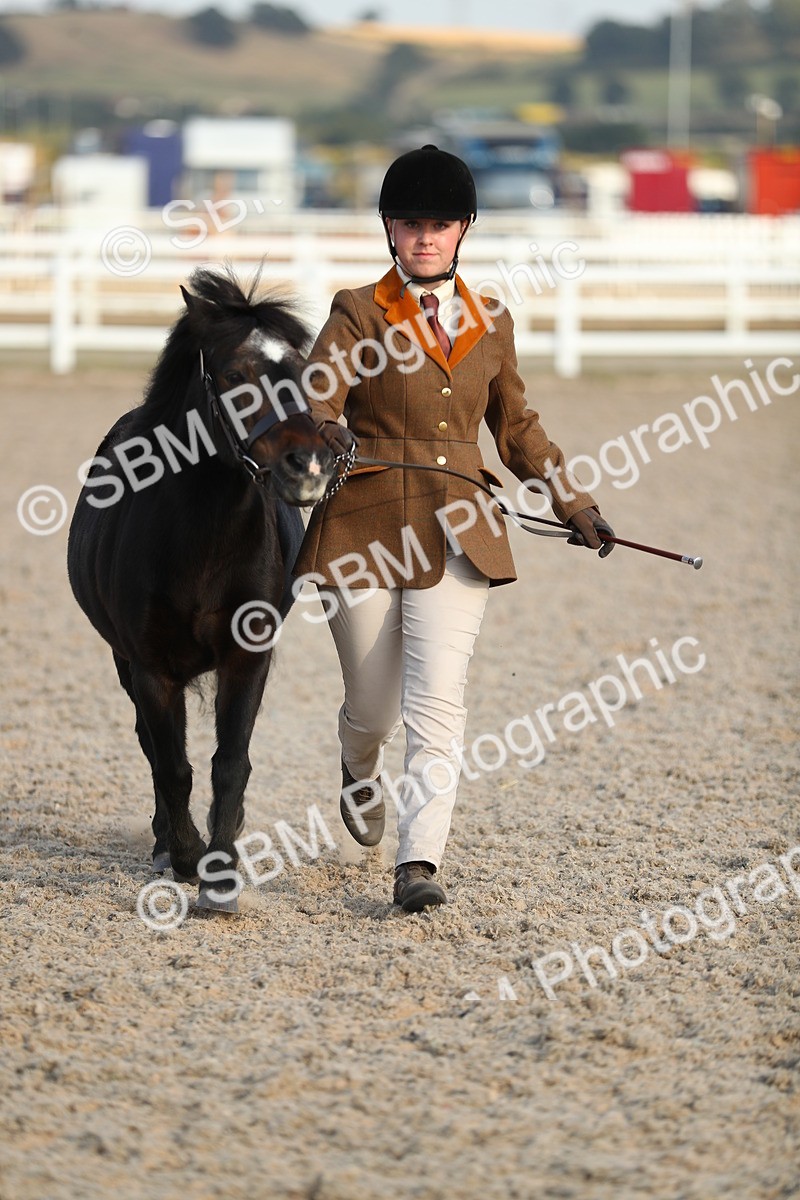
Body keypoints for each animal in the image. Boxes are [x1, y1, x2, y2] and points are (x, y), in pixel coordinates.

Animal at [67, 265, 336, 915]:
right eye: (235, 375)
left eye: (303, 372)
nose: (309, 466)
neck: (203, 541)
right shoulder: (149, 668)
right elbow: (173, 766)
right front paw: (185, 857)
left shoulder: (247, 658)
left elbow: (228, 764)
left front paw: (221, 873)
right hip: (123, 663)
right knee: (151, 748)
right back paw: (166, 842)